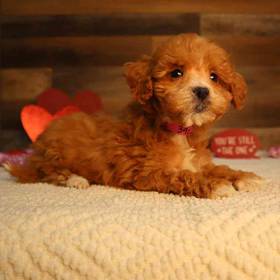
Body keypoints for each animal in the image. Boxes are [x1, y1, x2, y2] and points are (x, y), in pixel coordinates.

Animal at [8, 34, 262, 198]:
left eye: (214, 77)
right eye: (176, 73)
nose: (202, 90)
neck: (178, 130)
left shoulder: (197, 163)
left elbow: (218, 168)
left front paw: (244, 177)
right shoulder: (147, 173)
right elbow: (182, 176)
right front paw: (216, 185)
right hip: (54, 154)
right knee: (48, 172)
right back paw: (76, 179)